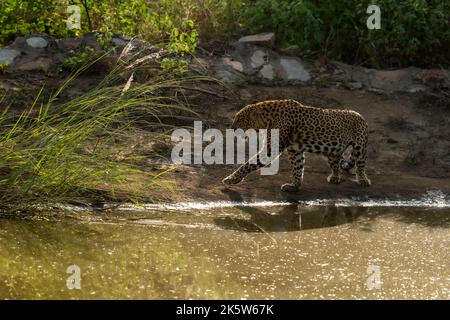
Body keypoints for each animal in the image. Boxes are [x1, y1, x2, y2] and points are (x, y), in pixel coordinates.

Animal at [220, 99, 370, 191]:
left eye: (239, 119)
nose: (231, 128)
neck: (267, 120)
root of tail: (359, 114)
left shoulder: (271, 149)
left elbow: (247, 165)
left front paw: (231, 179)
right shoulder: (294, 149)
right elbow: (298, 167)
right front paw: (294, 185)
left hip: (360, 145)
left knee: (360, 164)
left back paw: (363, 180)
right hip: (333, 151)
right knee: (336, 164)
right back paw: (335, 177)